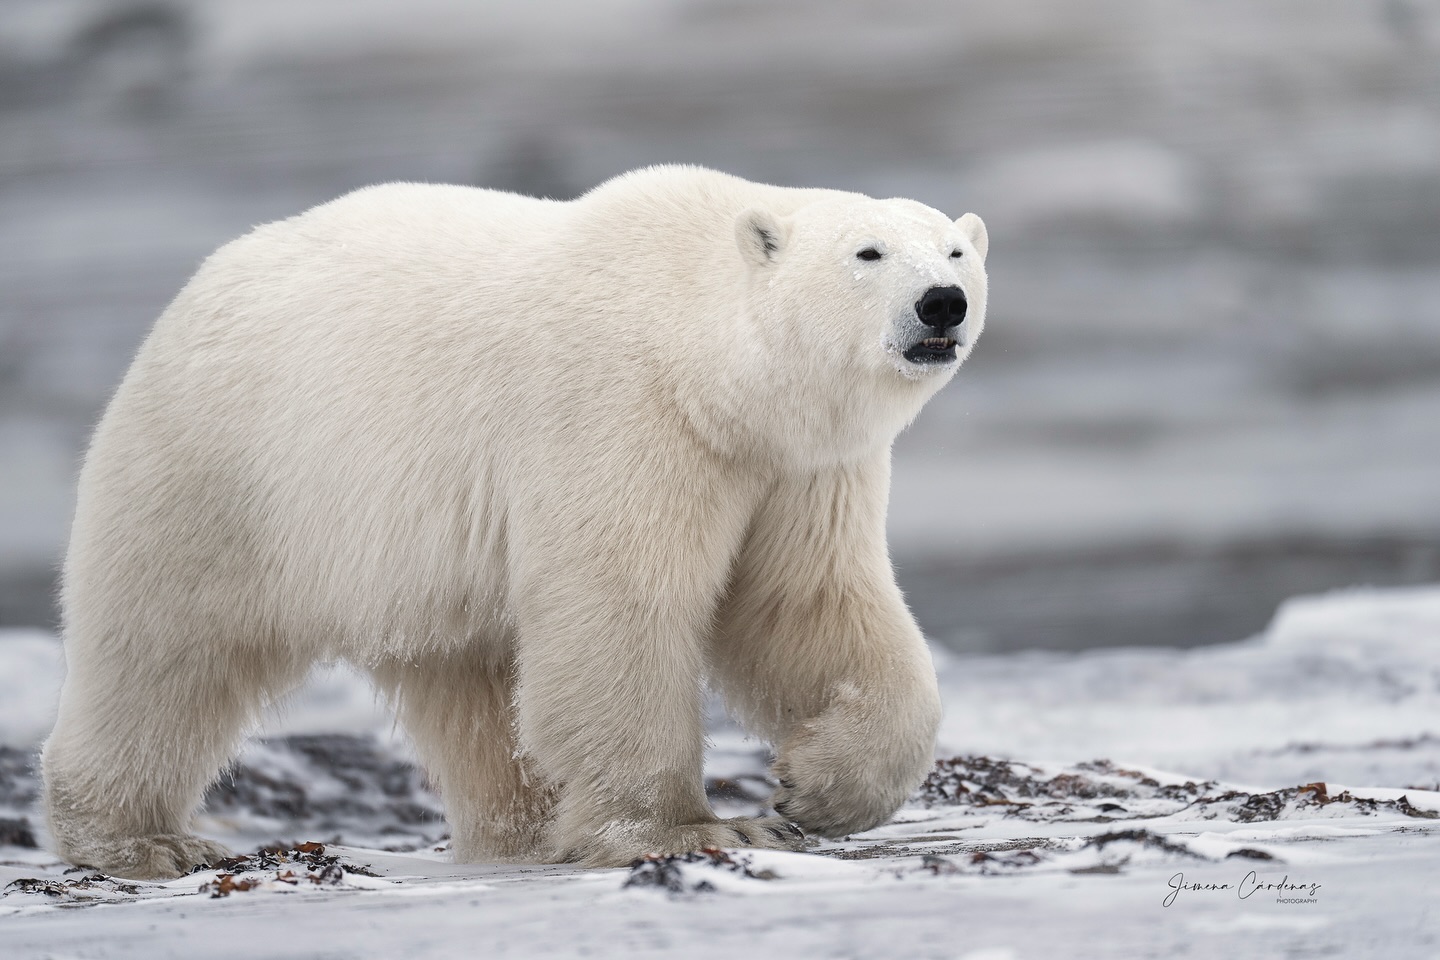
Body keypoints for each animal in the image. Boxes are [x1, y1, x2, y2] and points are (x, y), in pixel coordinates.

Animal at [45, 165, 990, 880]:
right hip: (226, 471)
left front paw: (818, 788)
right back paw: (141, 840)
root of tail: (190, 292)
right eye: (867, 251)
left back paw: (524, 831)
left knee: (468, 686)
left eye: (953, 248)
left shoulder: (794, 466)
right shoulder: (621, 416)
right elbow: (618, 605)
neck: (699, 356)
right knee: (164, 654)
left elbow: (806, 607)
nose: (942, 303)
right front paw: (691, 828)